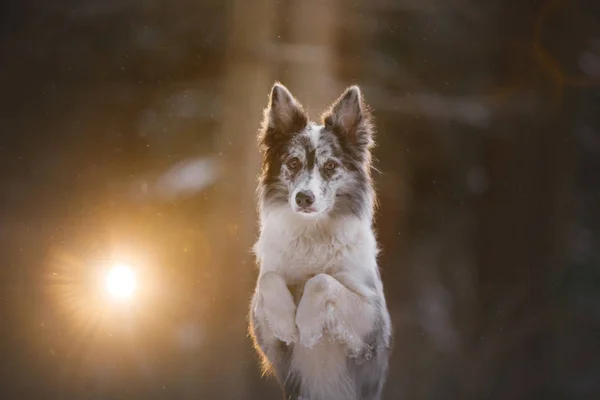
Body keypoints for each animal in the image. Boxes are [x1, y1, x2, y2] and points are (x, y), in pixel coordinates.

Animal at [250, 83, 394, 400]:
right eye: (293, 163)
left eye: (330, 166)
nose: (304, 198)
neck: (313, 235)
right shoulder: (268, 339)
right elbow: (267, 280)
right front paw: (286, 323)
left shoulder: (371, 325)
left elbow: (323, 281)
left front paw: (307, 326)